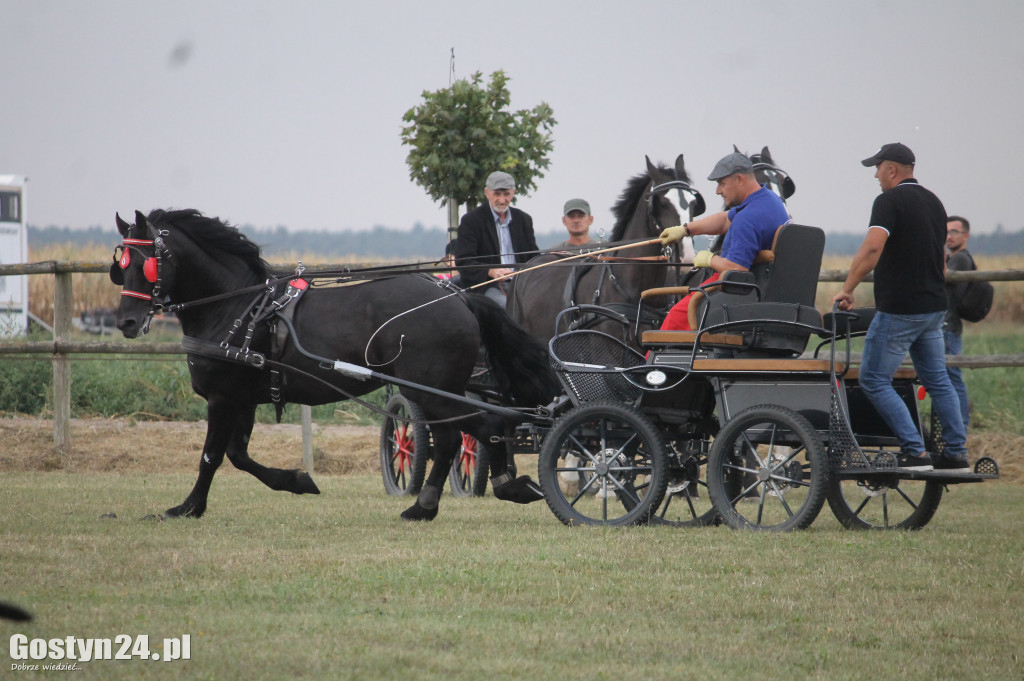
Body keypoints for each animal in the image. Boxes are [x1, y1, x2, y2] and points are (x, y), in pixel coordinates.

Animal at [112, 206, 561, 520]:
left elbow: (211, 456)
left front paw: (187, 507)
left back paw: (430, 504)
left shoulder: (222, 398)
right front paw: (297, 480)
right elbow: (238, 454)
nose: (126, 322)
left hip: (430, 389)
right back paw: (493, 488)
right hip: (441, 389)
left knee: (467, 431)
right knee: (479, 428)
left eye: (145, 263)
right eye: (120, 266)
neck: (239, 307)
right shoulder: (243, 398)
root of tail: (457, 297)